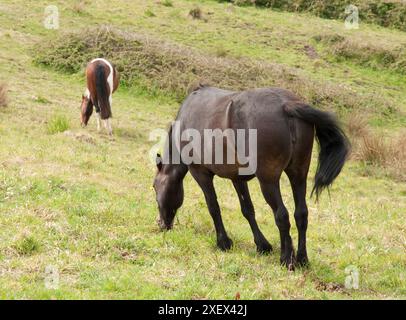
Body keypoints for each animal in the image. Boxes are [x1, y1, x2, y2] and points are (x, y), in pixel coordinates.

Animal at [152, 85, 348, 270]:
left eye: (154, 187)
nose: (161, 225)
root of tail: (286, 105)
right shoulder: (237, 178)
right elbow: (247, 210)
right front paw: (262, 245)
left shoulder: (201, 173)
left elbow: (213, 207)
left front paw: (223, 242)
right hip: (298, 175)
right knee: (301, 214)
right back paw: (301, 259)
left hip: (268, 181)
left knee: (282, 215)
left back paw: (286, 259)